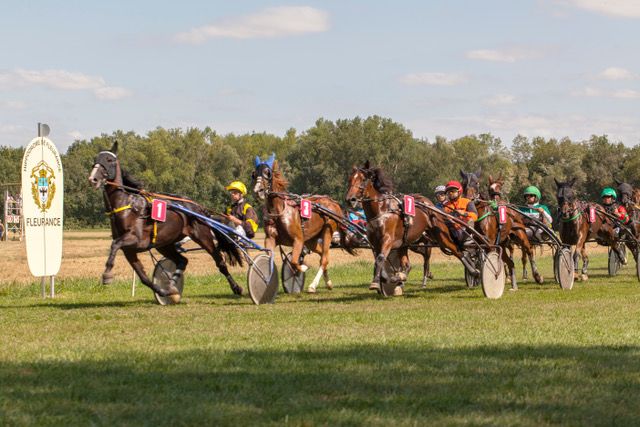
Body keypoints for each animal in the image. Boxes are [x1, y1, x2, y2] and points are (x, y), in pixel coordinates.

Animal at [88, 141, 244, 301]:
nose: (93, 179)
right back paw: (171, 287)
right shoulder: (129, 250)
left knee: (219, 262)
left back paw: (236, 287)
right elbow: (143, 276)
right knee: (182, 261)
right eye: (95, 159)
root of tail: (198, 207)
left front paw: (107, 275)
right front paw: (163, 292)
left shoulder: (136, 240)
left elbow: (115, 244)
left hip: (202, 236)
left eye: (109, 160)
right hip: (165, 243)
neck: (128, 206)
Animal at [252, 155, 355, 293]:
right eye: (254, 174)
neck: (279, 212)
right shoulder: (270, 239)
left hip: (328, 231)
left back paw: (313, 285)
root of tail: (333, 203)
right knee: (323, 255)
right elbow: (269, 257)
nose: (258, 190)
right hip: (311, 240)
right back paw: (328, 283)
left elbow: (294, 261)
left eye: (267, 173)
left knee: (324, 259)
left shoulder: (298, 240)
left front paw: (302, 269)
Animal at [346, 162, 476, 293]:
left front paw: (376, 283)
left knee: (456, 251)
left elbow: (380, 259)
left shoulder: (387, 240)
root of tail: (429, 203)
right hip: (406, 243)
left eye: (363, 179)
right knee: (408, 264)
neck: (382, 210)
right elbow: (380, 261)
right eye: (350, 179)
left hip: (440, 235)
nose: (350, 199)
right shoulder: (375, 243)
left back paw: (473, 270)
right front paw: (391, 278)